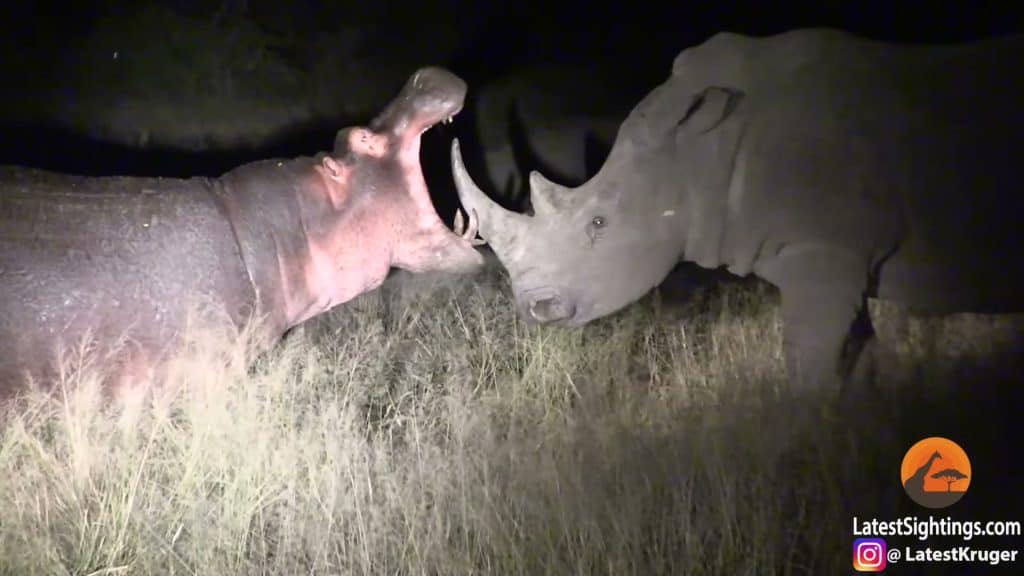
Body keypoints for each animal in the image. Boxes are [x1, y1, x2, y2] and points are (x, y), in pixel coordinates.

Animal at [451, 28, 1024, 395]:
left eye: (598, 223)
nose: (537, 308)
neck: (697, 155)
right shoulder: (838, 253)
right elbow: (856, 353)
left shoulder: (823, 249)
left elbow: (810, 358)